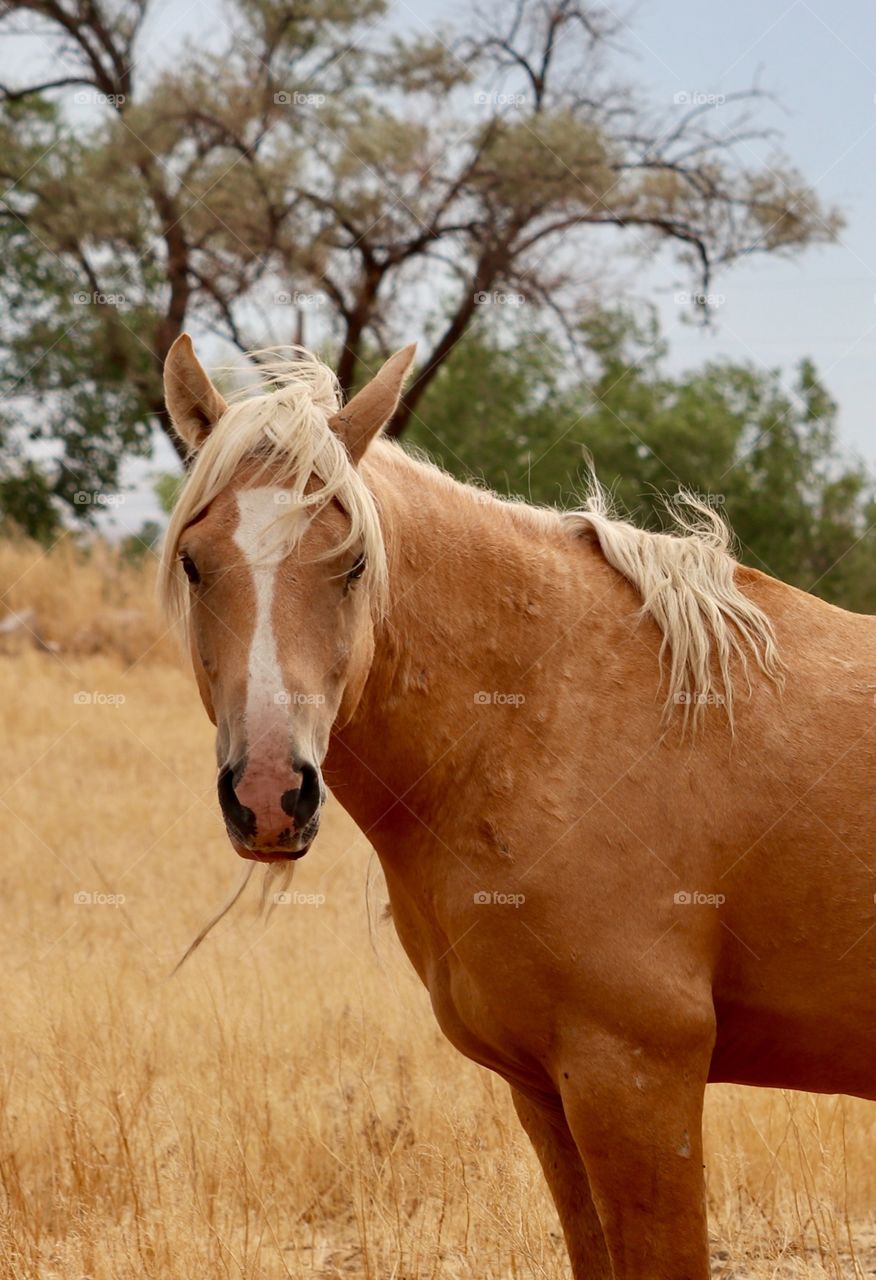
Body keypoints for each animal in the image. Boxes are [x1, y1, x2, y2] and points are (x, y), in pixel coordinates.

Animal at [160, 337, 870, 1280]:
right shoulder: (546, 1092)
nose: (269, 794)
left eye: (353, 563)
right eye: (195, 562)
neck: (542, 720)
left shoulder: (638, 1081)